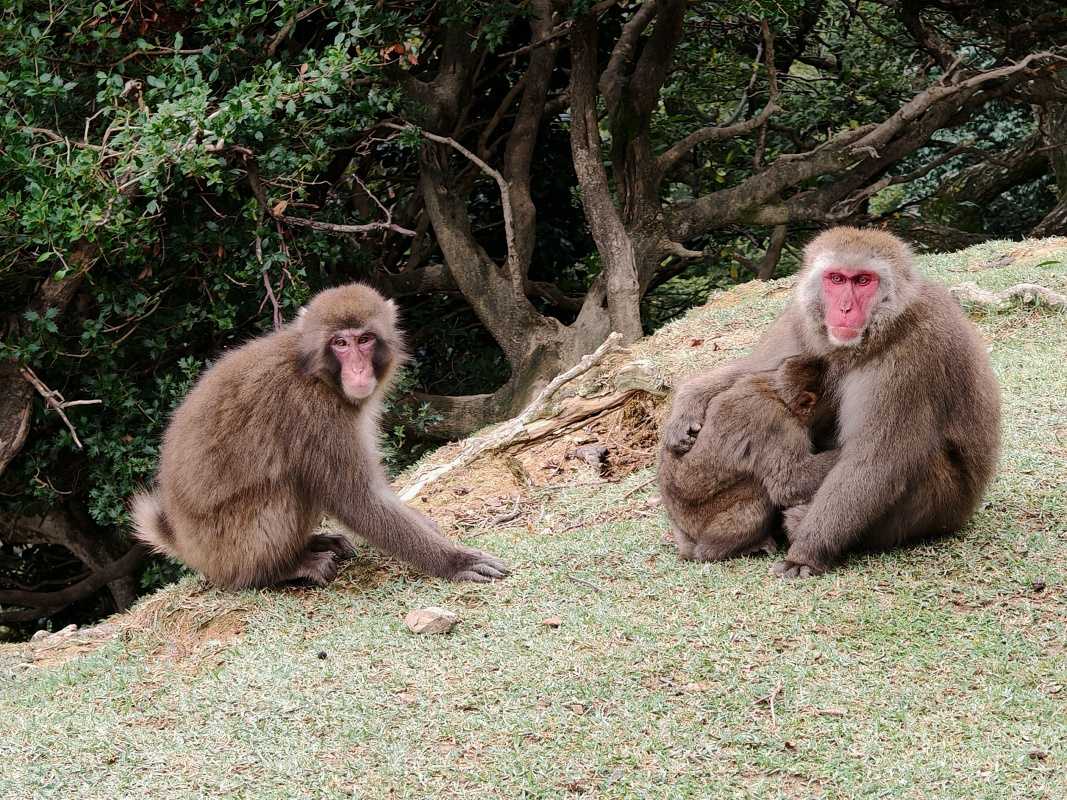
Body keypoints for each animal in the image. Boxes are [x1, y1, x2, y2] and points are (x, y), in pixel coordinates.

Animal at [131, 283, 509, 589]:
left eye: (364, 339)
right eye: (340, 343)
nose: (357, 369)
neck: (313, 372)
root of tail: (185, 543)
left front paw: (426, 524)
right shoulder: (315, 413)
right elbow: (358, 499)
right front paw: (455, 561)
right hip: (228, 547)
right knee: (288, 487)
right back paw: (279, 570)